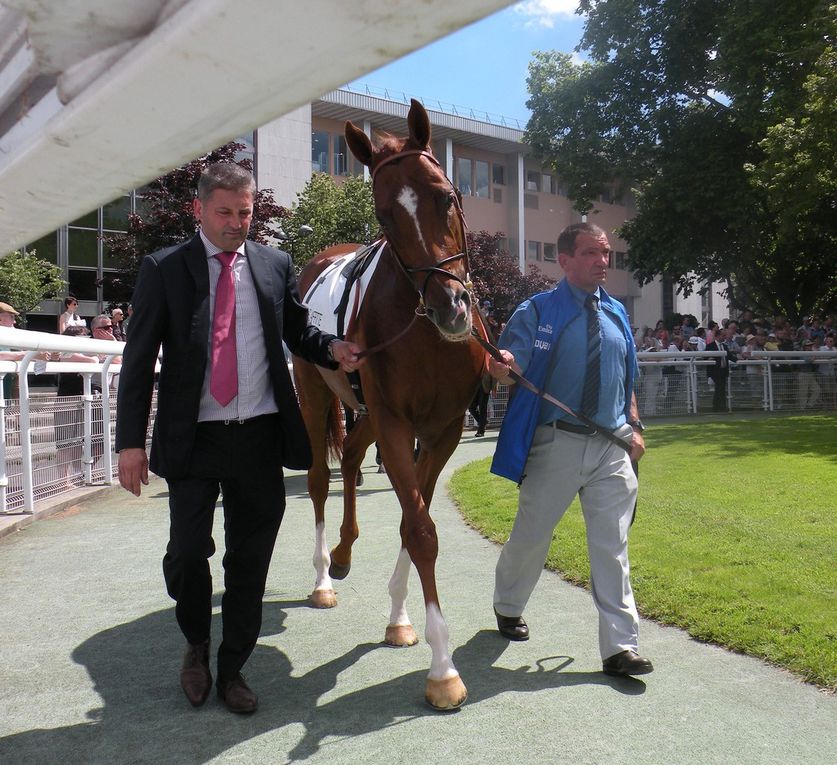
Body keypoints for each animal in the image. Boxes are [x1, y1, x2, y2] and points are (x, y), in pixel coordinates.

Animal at [296, 98, 484, 708]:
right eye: (383, 215)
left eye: (446, 195)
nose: (450, 306)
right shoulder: (399, 424)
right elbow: (420, 529)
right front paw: (444, 670)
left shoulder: (443, 427)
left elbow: (411, 517)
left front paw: (401, 619)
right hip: (314, 395)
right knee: (318, 478)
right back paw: (322, 577)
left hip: (369, 415)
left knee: (354, 457)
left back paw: (344, 553)